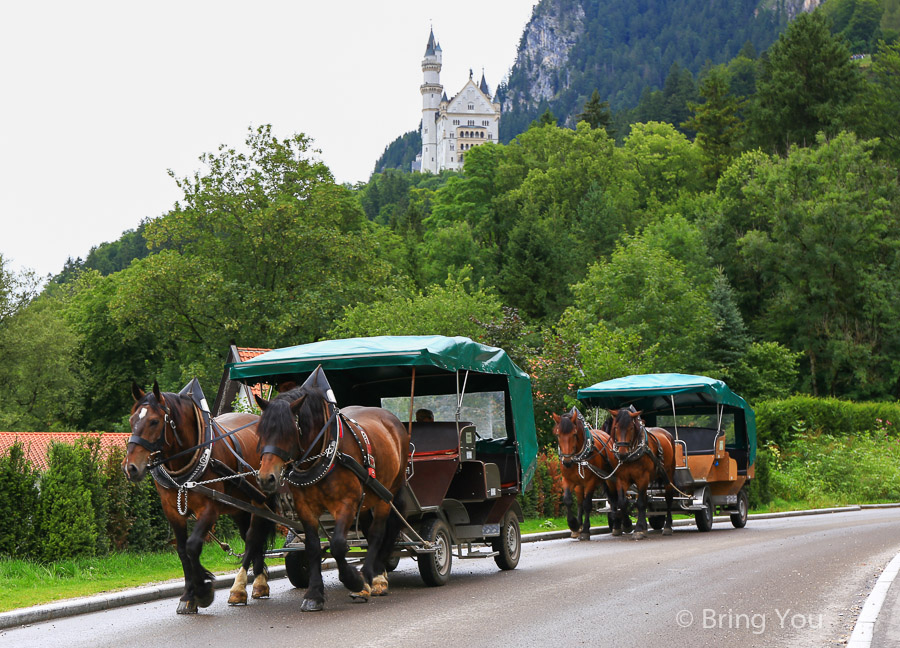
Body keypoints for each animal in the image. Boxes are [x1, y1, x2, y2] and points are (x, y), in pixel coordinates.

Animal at [123, 382, 276, 616]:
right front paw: (188, 595)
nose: (130, 468)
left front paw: (203, 591)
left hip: (260, 500)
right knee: (251, 537)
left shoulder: (209, 508)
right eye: (132, 420)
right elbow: (181, 550)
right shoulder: (171, 511)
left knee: (252, 538)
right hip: (240, 506)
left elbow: (192, 546)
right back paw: (258, 582)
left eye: (154, 421)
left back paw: (241, 587)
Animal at [253, 380, 408, 612]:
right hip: (366, 499)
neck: (324, 452)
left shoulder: (346, 503)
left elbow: (337, 545)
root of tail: (393, 420)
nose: (266, 478)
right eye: (261, 432)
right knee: (368, 531)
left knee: (378, 533)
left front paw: (355, 580)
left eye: (288, 431)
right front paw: (314, 594)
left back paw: (373, 577)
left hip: (386, 494)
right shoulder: (305, 507)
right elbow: (313, 547)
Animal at [552, 408, 624, 540]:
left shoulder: (591, 481)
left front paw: (585, 530)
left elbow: (587, 504)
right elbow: (568, 500)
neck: (578, 458)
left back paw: (617, 525)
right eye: (558, 435)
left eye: (574, 434)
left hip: (610, 479)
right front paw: (574, 525)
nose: (567, 462)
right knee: (580, 502)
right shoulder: (567, 480)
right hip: (580, 484)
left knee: (614, 498)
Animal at [604, 408, 676, 540]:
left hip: (668, 475)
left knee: (669, 498)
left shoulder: (642, 478)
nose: (622, 453)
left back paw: (668, 526)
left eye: (631, 428)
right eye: (616, 427)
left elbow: (640, 503)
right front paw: (627, 523)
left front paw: (638, 529)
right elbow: (622, 502)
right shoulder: (621, 479)